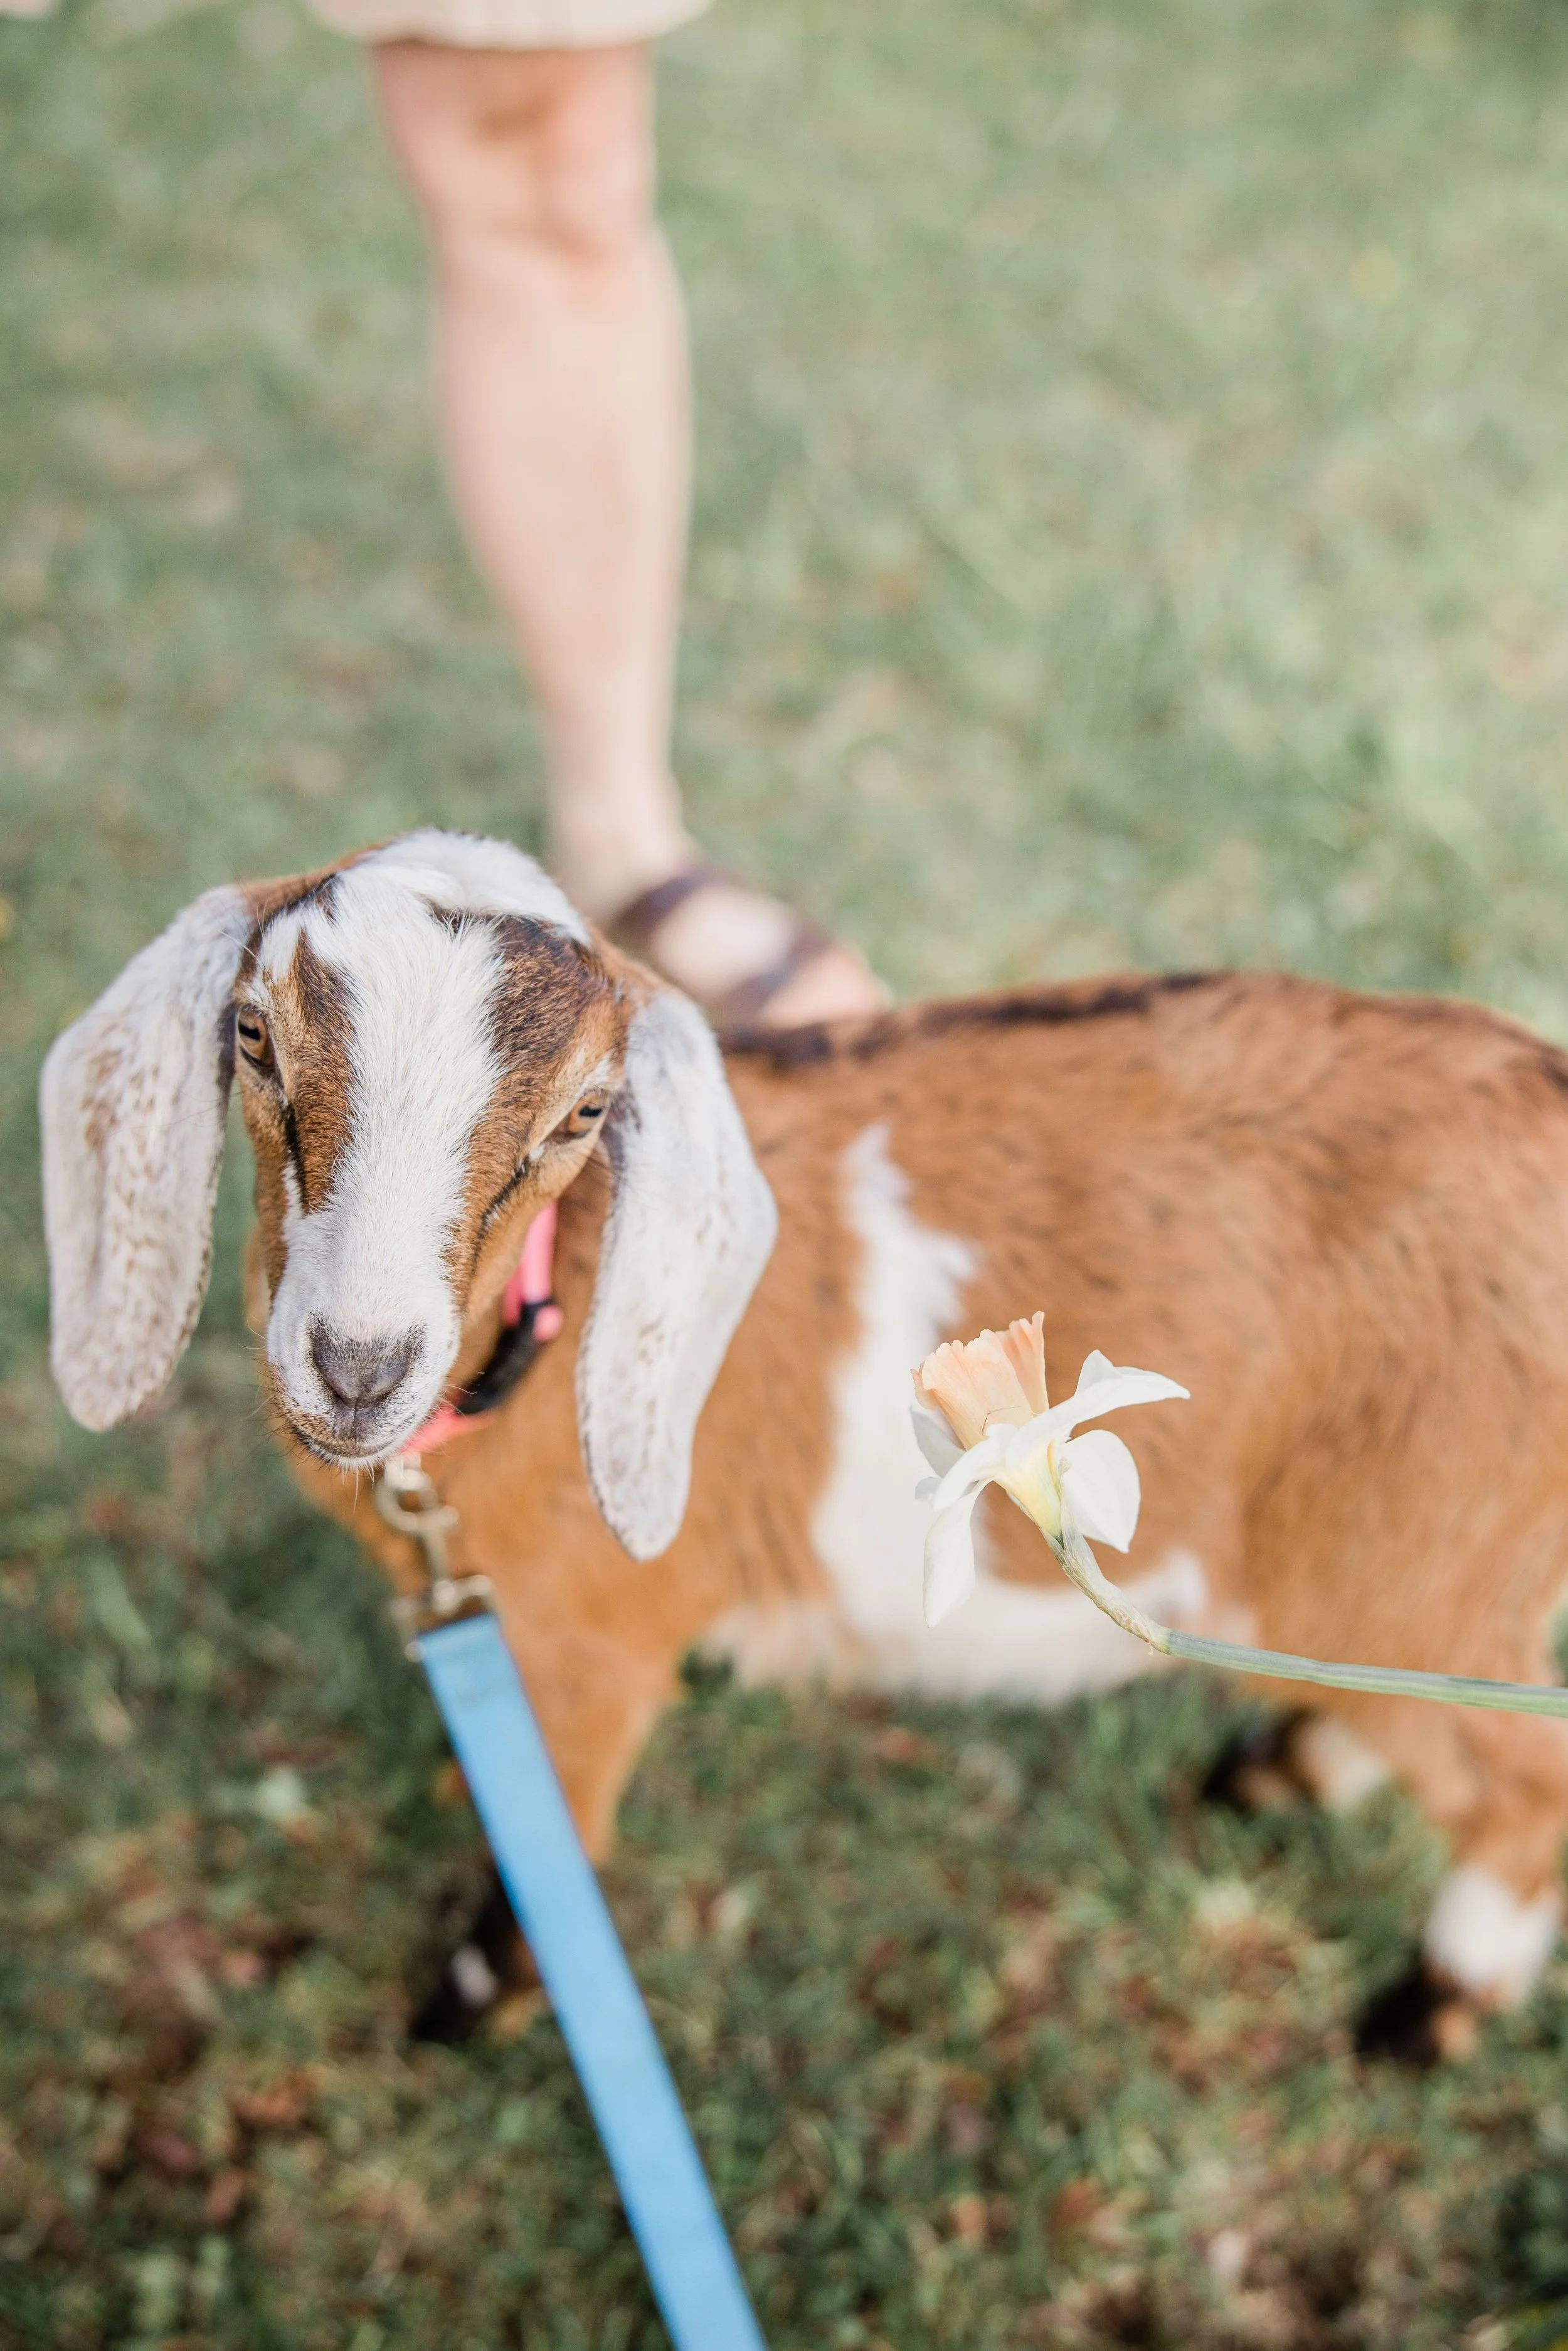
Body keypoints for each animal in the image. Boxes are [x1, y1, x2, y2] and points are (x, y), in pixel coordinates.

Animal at [40, 828, 1568, 2058]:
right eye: (251, 1034)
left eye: (585, 1112)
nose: (357, 1368)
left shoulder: (590, 1650)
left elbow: (545, 1849)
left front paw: (465, 2002)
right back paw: (1287, 1767)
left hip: (1417, 1548)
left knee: (1521, 1778)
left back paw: (1427, 2004)